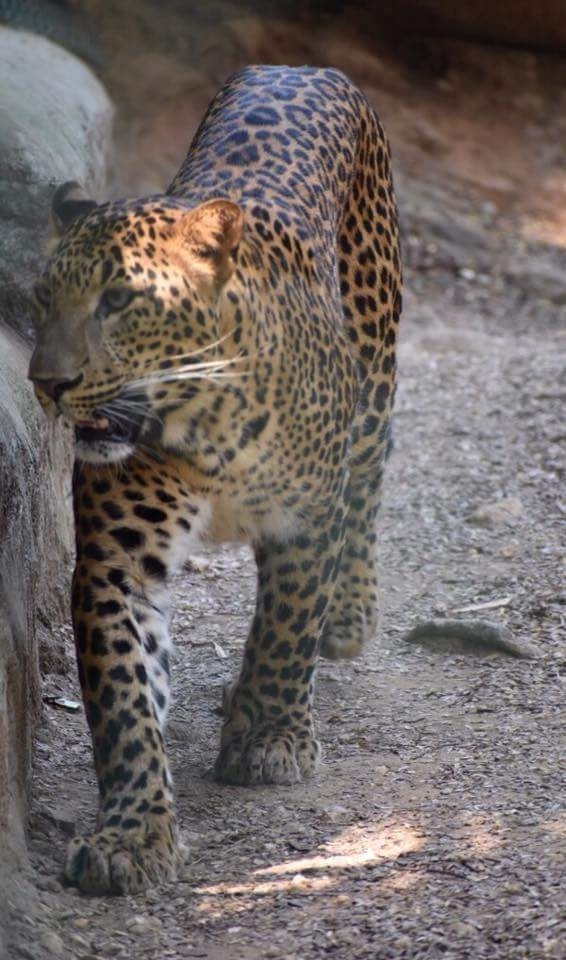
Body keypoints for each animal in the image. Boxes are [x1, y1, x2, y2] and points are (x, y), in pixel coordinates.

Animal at [28, 65, 402, 895]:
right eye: (41, 299)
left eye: (119, 300)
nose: (46, 383)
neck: (206, 417)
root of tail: (304, 68)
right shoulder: (116, 563)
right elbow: (125, 698)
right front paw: (132, 835)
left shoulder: (306, 522)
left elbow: (285, 629)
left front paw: (269, 738)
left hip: (374, 365)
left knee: (368, 478)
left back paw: (346, 615)